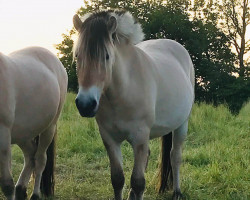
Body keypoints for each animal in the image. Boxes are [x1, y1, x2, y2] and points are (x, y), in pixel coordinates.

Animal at [0, 47, 67, 200]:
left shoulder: (3, 137)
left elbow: (6, 185)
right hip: (23, 134)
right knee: (30, 155)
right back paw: (21, 190)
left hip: (49, 128)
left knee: (40, 159)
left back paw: (35, 194)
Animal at [73, 10, 194, 200]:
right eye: (78, 55)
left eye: (107, 56)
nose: (85, 104)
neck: (124, 90)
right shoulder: (110, 138)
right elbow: (118, 179)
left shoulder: (139, 138)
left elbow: (138, 182)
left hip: (182, 124)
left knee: (175, 157)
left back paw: (177, 192)